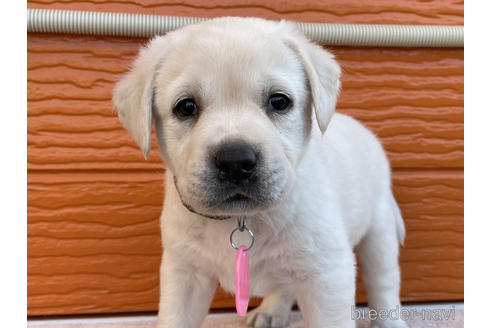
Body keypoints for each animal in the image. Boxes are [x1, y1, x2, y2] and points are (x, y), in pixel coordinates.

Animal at [113, 16, 406, 328]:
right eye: (186, 106)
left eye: (279, 101)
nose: (235, 161)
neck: (243, 219)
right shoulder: (184, 271)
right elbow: (174, 318)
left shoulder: (327, 275)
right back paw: (271, 310)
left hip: (379, 231)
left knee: (384, 283)